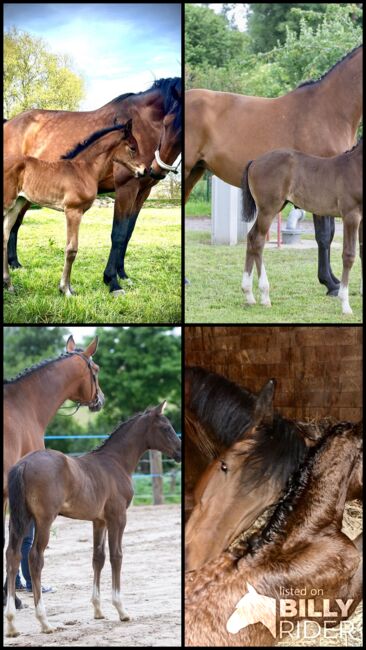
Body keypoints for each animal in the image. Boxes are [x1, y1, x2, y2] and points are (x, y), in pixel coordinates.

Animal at [3, 119, 146, 294]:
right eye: (133, 148)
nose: (144, 170)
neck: (84, 170)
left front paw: (69, 287)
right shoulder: (73, 211)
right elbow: (72, 249)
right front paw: (65, 289)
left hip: (16, 204)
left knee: (4, 236)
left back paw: (9, 285)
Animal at [5, 400, 182, 632]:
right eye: (165, 428)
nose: (180, 452)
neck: (115, 462)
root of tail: (24, 463)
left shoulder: (99, 521)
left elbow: (98, 558)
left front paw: (98, 610)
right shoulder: (118, 518)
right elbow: (117, 556)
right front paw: (121, 609)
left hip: (20, 519)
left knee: (12, 555)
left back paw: (11, 623)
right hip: (43, 520)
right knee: (34, 557)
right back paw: (44, 621)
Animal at [242, 140, 362, 316]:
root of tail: (254, 162)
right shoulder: (351, 215)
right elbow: (349, 255)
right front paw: (345, 305)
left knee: (251, 238)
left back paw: (249, 295)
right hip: (268, 209)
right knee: (257, 241)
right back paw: (264, 296)